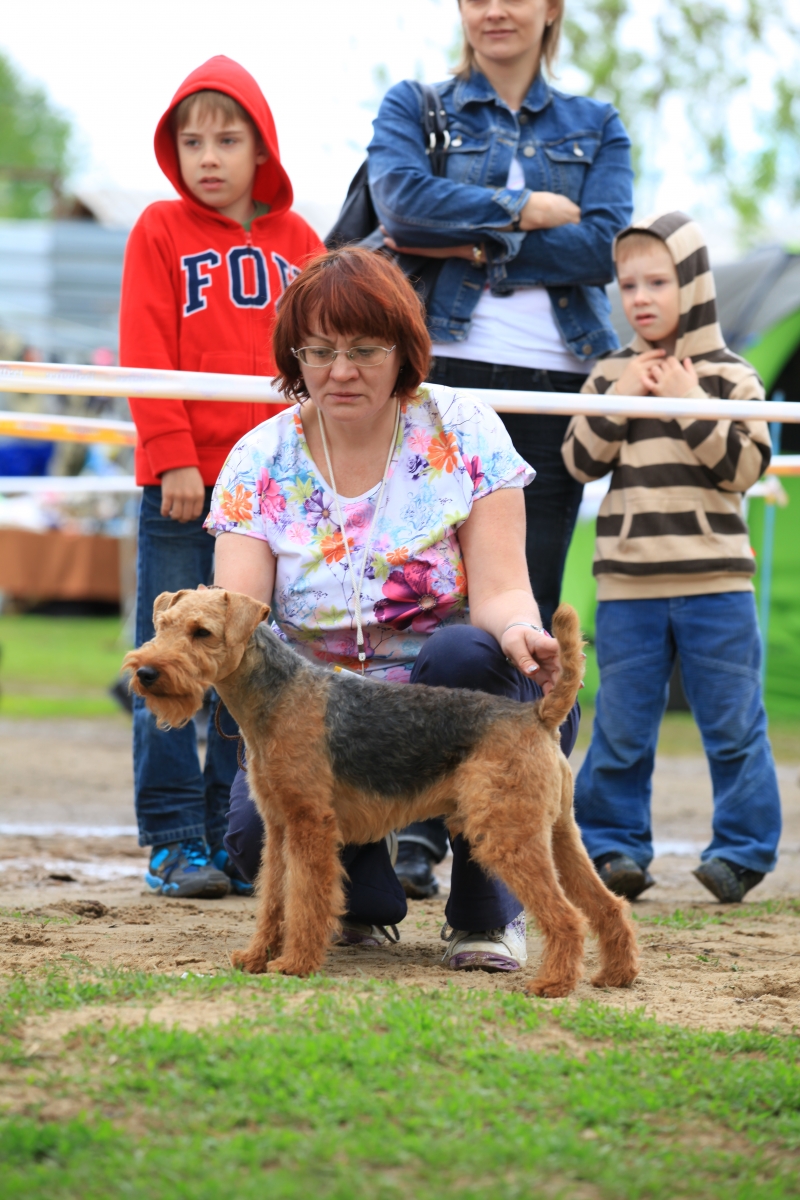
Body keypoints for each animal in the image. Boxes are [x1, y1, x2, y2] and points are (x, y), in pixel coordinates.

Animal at [123, 585, 638, 998]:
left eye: (202, 632)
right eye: (163, 625)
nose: (146, 672)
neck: (278, 696)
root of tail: (536, 713)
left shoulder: (311, 823)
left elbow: (306, 899)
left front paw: (294, 964)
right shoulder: (278, 824)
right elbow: (273, 899)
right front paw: (254, 958)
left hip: (506, 834)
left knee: (567, 915)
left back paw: (553, 984)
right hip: (557, 832)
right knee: (608, 905)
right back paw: (617, 975)